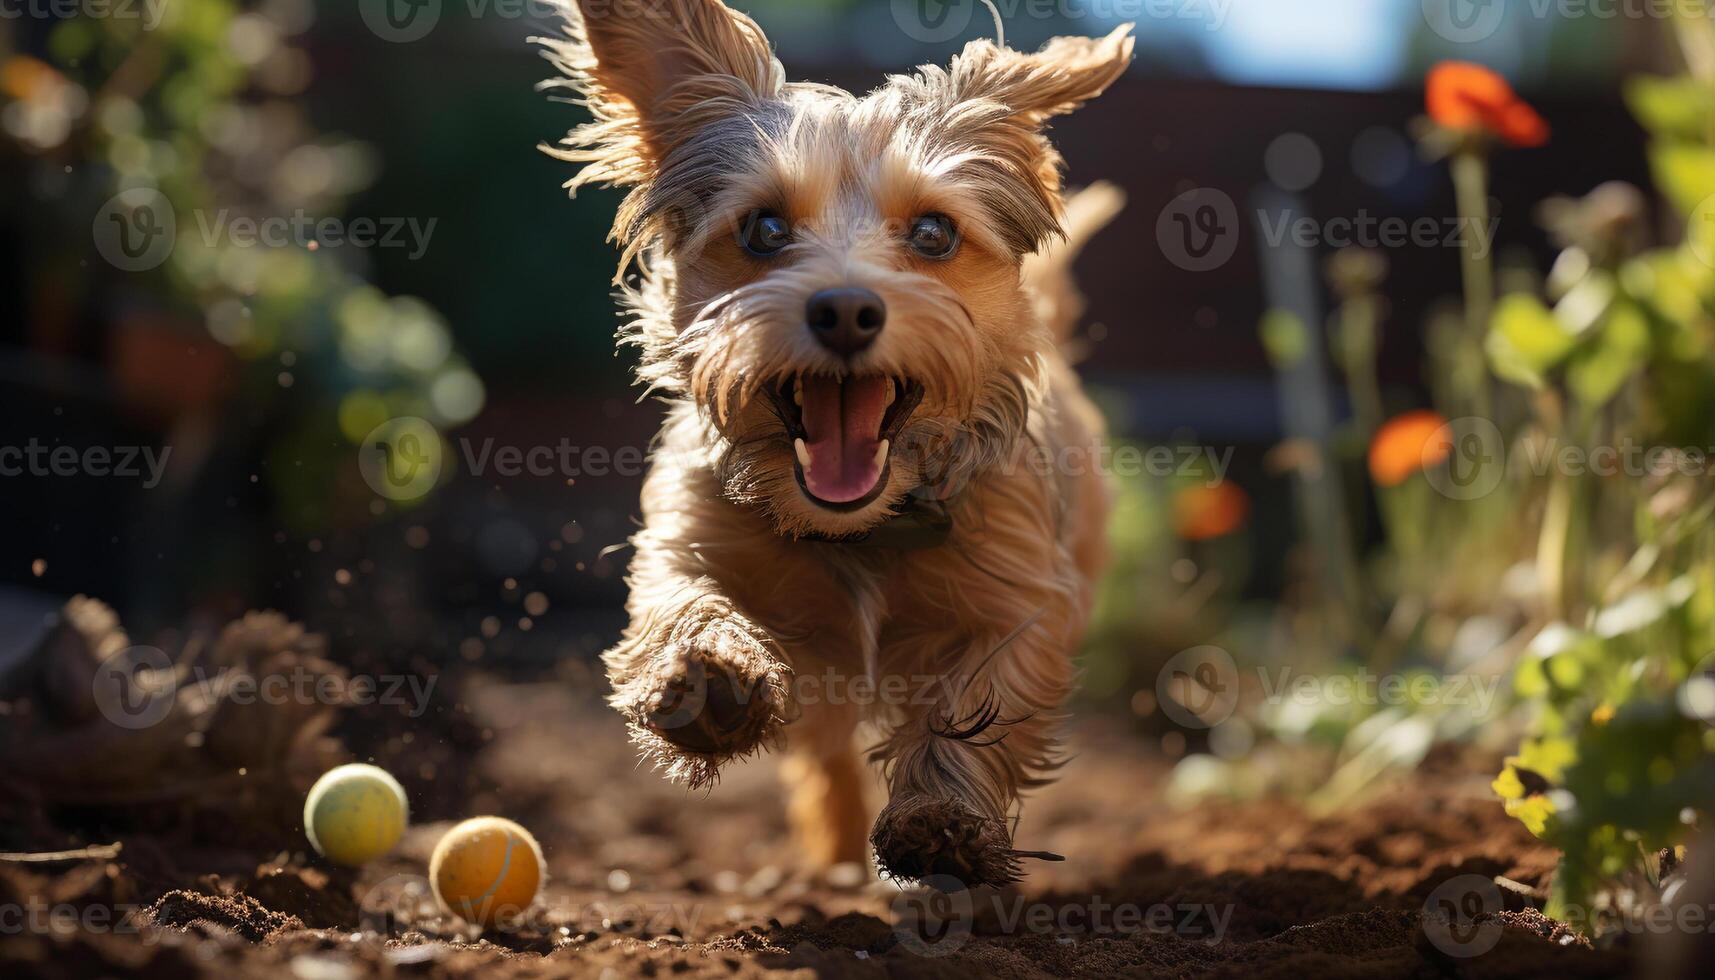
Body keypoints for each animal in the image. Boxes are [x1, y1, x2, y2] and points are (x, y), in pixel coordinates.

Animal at [541, 0, 1131, 892]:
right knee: (825, 758)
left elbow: (980, 695)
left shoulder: (1022, 591)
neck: (861, 525)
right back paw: (834, 854)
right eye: (763, 227)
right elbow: (681, 597)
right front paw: (708, 676)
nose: (846, 309)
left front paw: (942, 817)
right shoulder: (686, 534)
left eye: (932, 232)